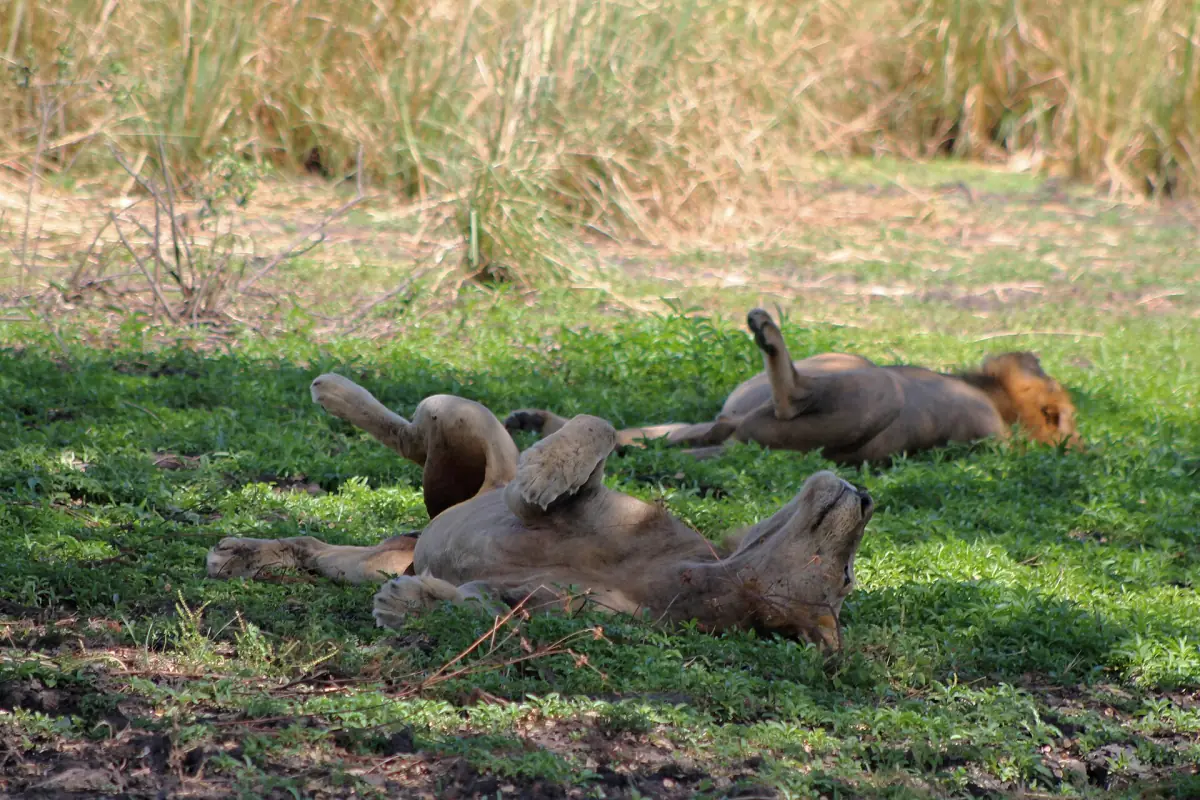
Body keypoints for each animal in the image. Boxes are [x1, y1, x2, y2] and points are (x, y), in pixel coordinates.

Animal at [205, 373, 873, 650]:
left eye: (843, 579)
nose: (867, 499)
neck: (700, 575)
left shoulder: (564, 609)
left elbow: (490, 611)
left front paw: (411, 605)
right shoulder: (594, 498)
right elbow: (596, 427)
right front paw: (547, 472)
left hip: (370, 558)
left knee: (317, 549)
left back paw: (245, 555)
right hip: (465, 429)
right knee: (416, 426)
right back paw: (333, 388)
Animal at [505, 308, 1080, 464]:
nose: (1034, 356)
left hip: (872, 390)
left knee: (788, 401)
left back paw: (768, 331)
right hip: (715, 422)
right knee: (637, 435)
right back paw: (536, 422)